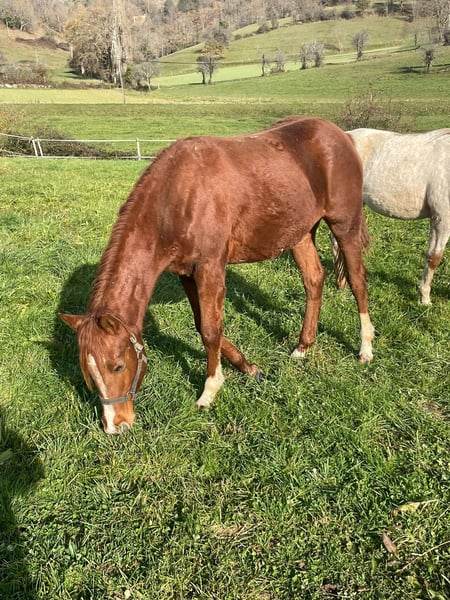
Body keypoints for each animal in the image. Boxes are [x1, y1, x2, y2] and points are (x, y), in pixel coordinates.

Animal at [60, 116, 374, 435]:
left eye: (118, 366)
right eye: (89, 373)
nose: (115, 426)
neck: (176, 199)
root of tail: (340, 135)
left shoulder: (210, 268)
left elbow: (211, 330)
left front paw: (210, 390)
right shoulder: (185, 273)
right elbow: (202, 325)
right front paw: (249, 368)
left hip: (344, 225)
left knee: (358, 281)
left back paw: (365, 349)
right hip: (299, 233)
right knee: (313, 280)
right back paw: (302, 346)